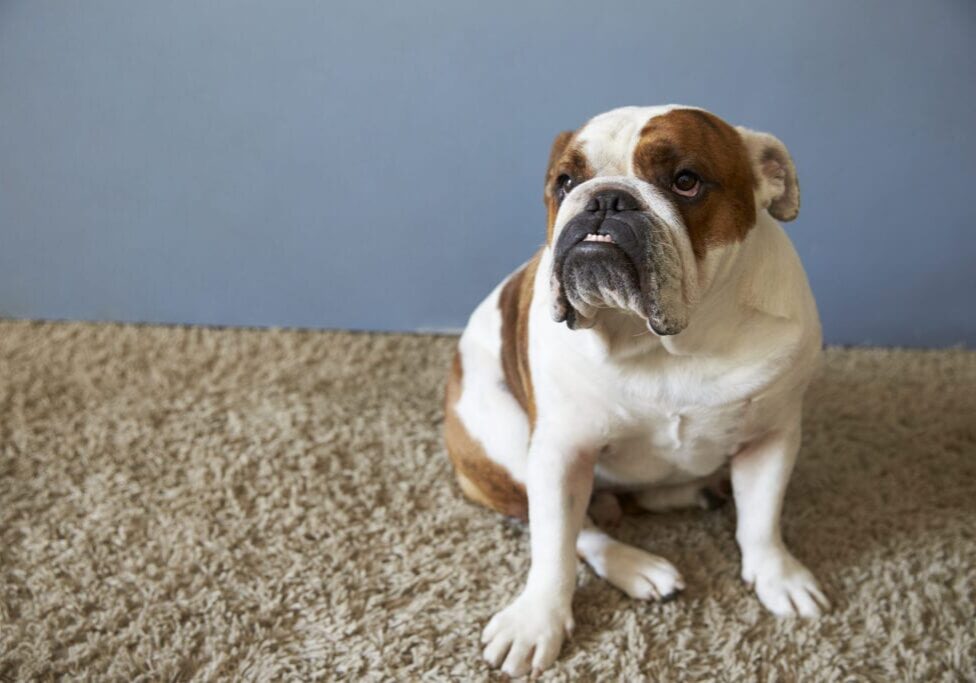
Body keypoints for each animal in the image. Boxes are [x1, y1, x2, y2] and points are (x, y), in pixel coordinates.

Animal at [446, 104, 828, 676]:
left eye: (686, 181)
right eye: (565, 181)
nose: (604, 198)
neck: (666, 344)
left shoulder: (772, 436)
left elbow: (763, 519)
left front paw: (777, 576)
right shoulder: (561, 452)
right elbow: (554, 548)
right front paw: (538, 621)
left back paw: (698, 491)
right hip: (503, 436)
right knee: (580, 530)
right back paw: (639, 566)